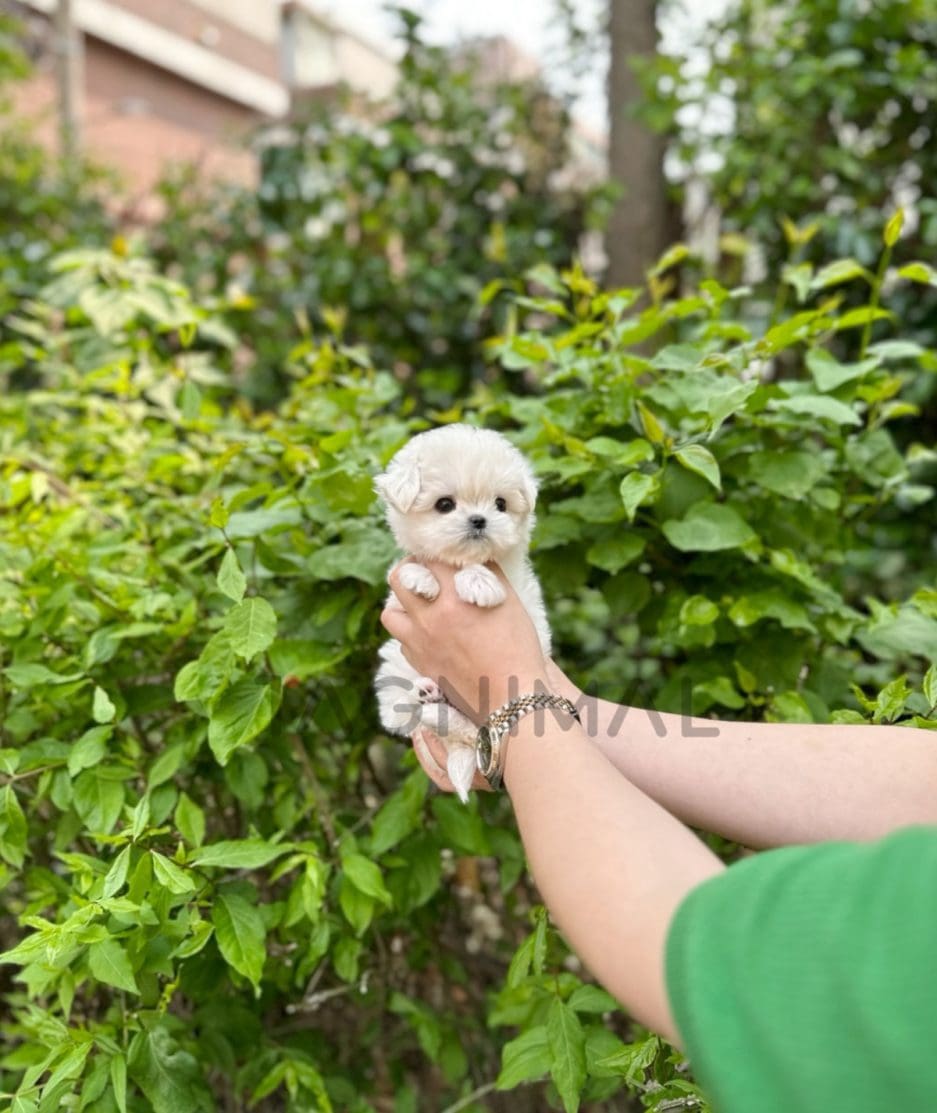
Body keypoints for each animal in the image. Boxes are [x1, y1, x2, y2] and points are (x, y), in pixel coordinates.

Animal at [371, 422, 547, 801]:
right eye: (444, 505)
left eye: (500, 504)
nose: (479, 520)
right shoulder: (397, 603)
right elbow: (410, 570)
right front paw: (421, 578)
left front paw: (478, 582)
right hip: (394, 670)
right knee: (405, 714)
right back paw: (426, 695)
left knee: (467, 730)